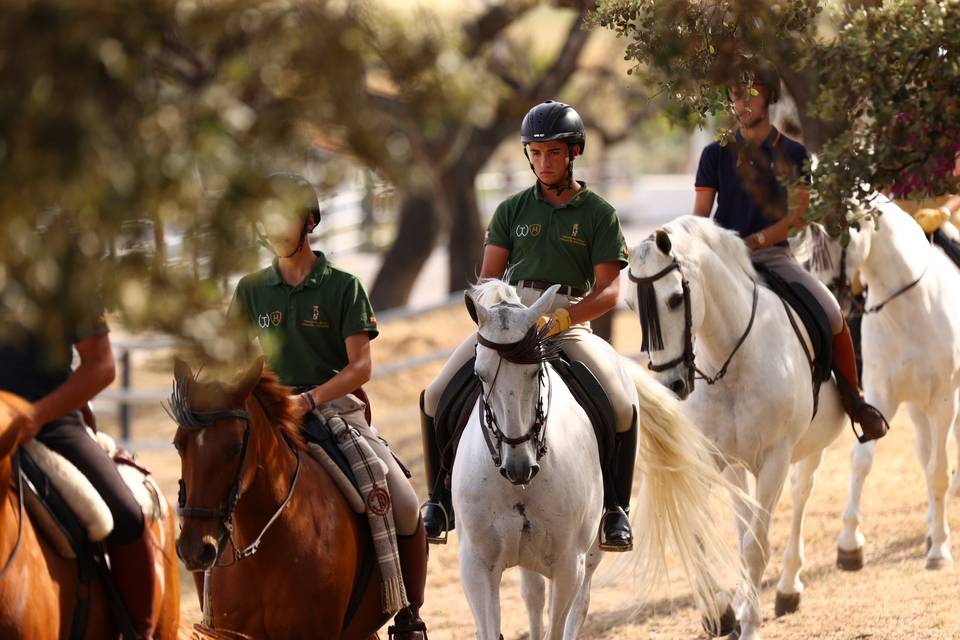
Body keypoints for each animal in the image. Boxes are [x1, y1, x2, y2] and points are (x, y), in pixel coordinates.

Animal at [454, 280, 748, 640]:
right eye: (479, 374)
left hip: (589, 551)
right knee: (533, 598)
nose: (518, 467)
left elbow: (560, 622)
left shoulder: (569, 565)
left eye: (535, 371)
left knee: (576, 607)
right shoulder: (476, 566)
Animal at [632, 216, 848, 640]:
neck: (730, 361)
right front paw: (722, 613)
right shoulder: (723, 461)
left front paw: (748, 623)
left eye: (674, 299)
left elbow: (755, 545)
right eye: (633, 305)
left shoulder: (774, 460)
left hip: (810, 447)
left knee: (801, 494)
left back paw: (788, 588)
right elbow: (715, 532)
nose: (672, 386)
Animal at [796, 198, 960, 572]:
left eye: (837, 231)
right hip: (915, 404)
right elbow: (863, 459)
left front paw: (940, 549)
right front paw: (848, 543)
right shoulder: (881, 394)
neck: (912, 304)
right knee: (924, 451)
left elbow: (939, 470)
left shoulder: (944, 400)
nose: (825, 300)